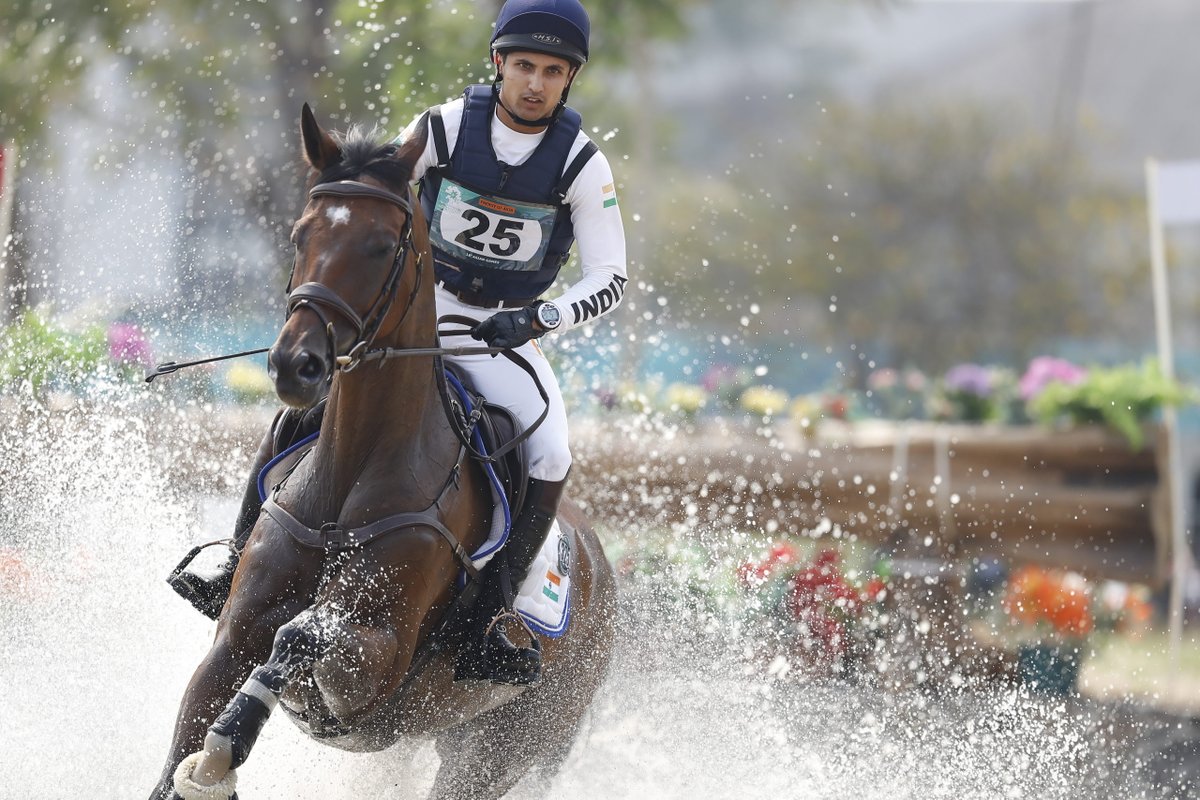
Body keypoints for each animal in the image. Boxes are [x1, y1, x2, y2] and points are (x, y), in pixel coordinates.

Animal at [147, 103, 619, 796]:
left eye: (379, 246)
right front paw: (207, 757)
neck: (353, 468)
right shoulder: (232, 641)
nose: (296, 365)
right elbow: (191, 728)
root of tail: (601, 567)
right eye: (300, 236)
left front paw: (220, 754)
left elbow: (297, 637)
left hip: (505, 750)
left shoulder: (375, 662)